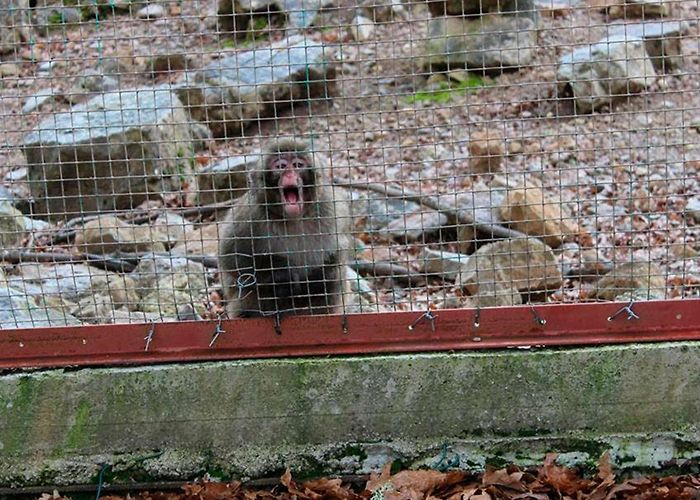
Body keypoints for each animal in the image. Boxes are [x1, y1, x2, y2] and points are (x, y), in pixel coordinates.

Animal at [217, 139, 350, 318]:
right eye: (280, 166)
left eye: (298, 165)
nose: (289, 175)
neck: (292, 219)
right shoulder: (249, 214)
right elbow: (230, 256)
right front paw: (282, 274)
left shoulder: (331, 209)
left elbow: (337, 255)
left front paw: (321, 276)